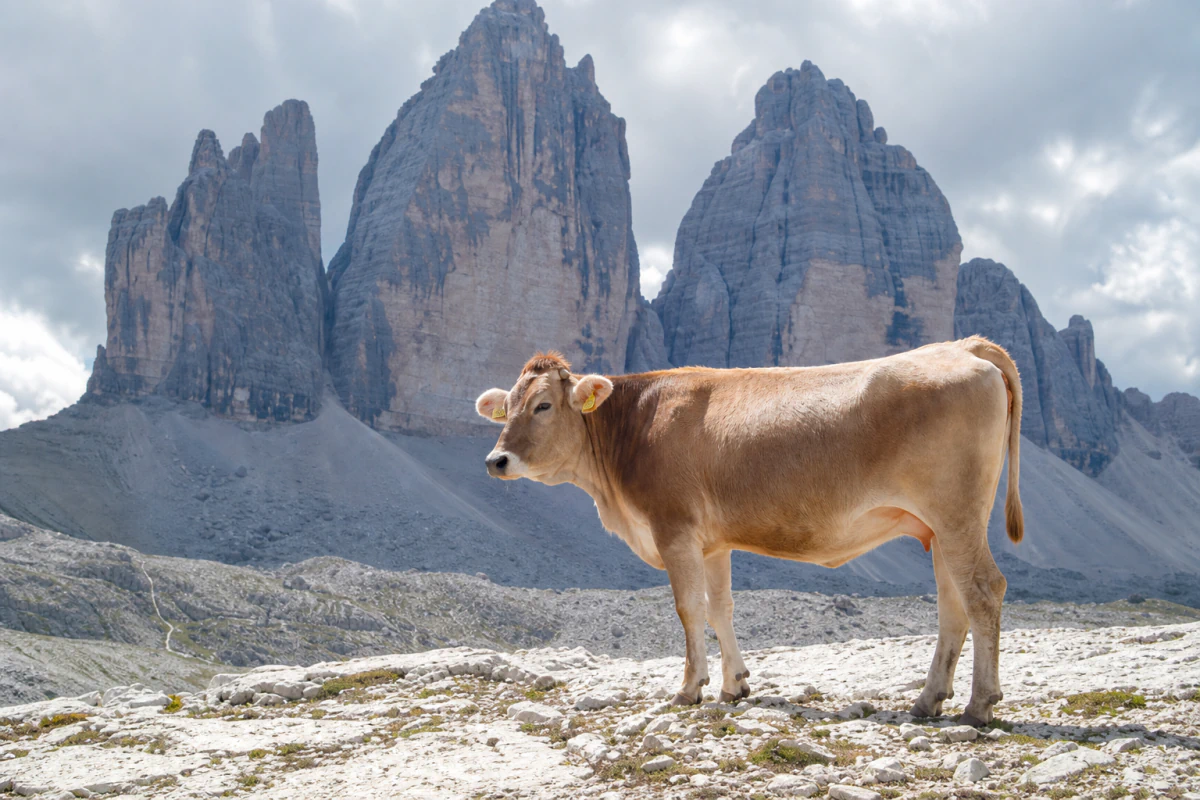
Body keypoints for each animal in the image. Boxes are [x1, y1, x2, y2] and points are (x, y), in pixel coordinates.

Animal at [475, 336, 1023, 726]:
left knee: (983, 590)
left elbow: (689, 609)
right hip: (940, 526)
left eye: (543, 405)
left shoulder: (674, 529)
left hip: (956, 513)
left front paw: (689, 688)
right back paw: (929, 700)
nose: (495, 460)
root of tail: (963, 346)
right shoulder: (713, 543)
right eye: (508, 407)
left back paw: (979, 704)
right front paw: (734, 684)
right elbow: (721, 607)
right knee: (953, 602)